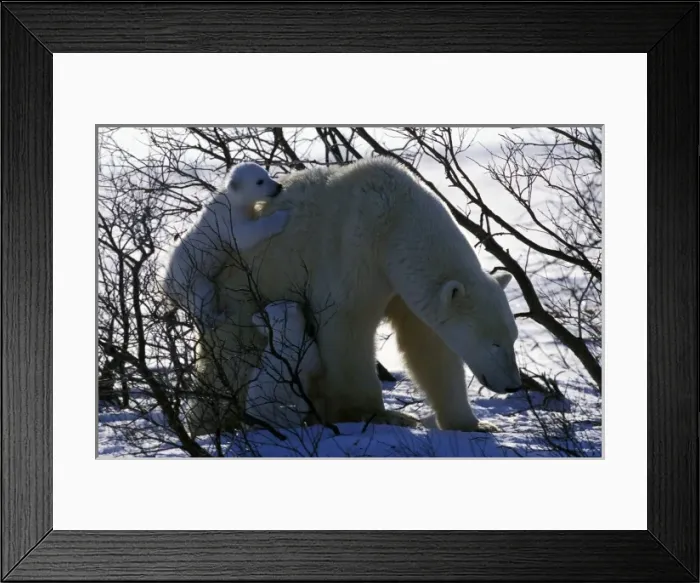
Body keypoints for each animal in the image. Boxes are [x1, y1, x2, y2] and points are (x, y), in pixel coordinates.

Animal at [159, 161, 291, 329]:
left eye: (267, 175)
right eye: (259, 181)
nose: (278, 186)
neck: (231, 200)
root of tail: (167, 284)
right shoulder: (226, 220)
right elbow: (242, 237)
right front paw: (281, 216)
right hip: (192, 277)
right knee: (203, 297)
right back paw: (219, 317)